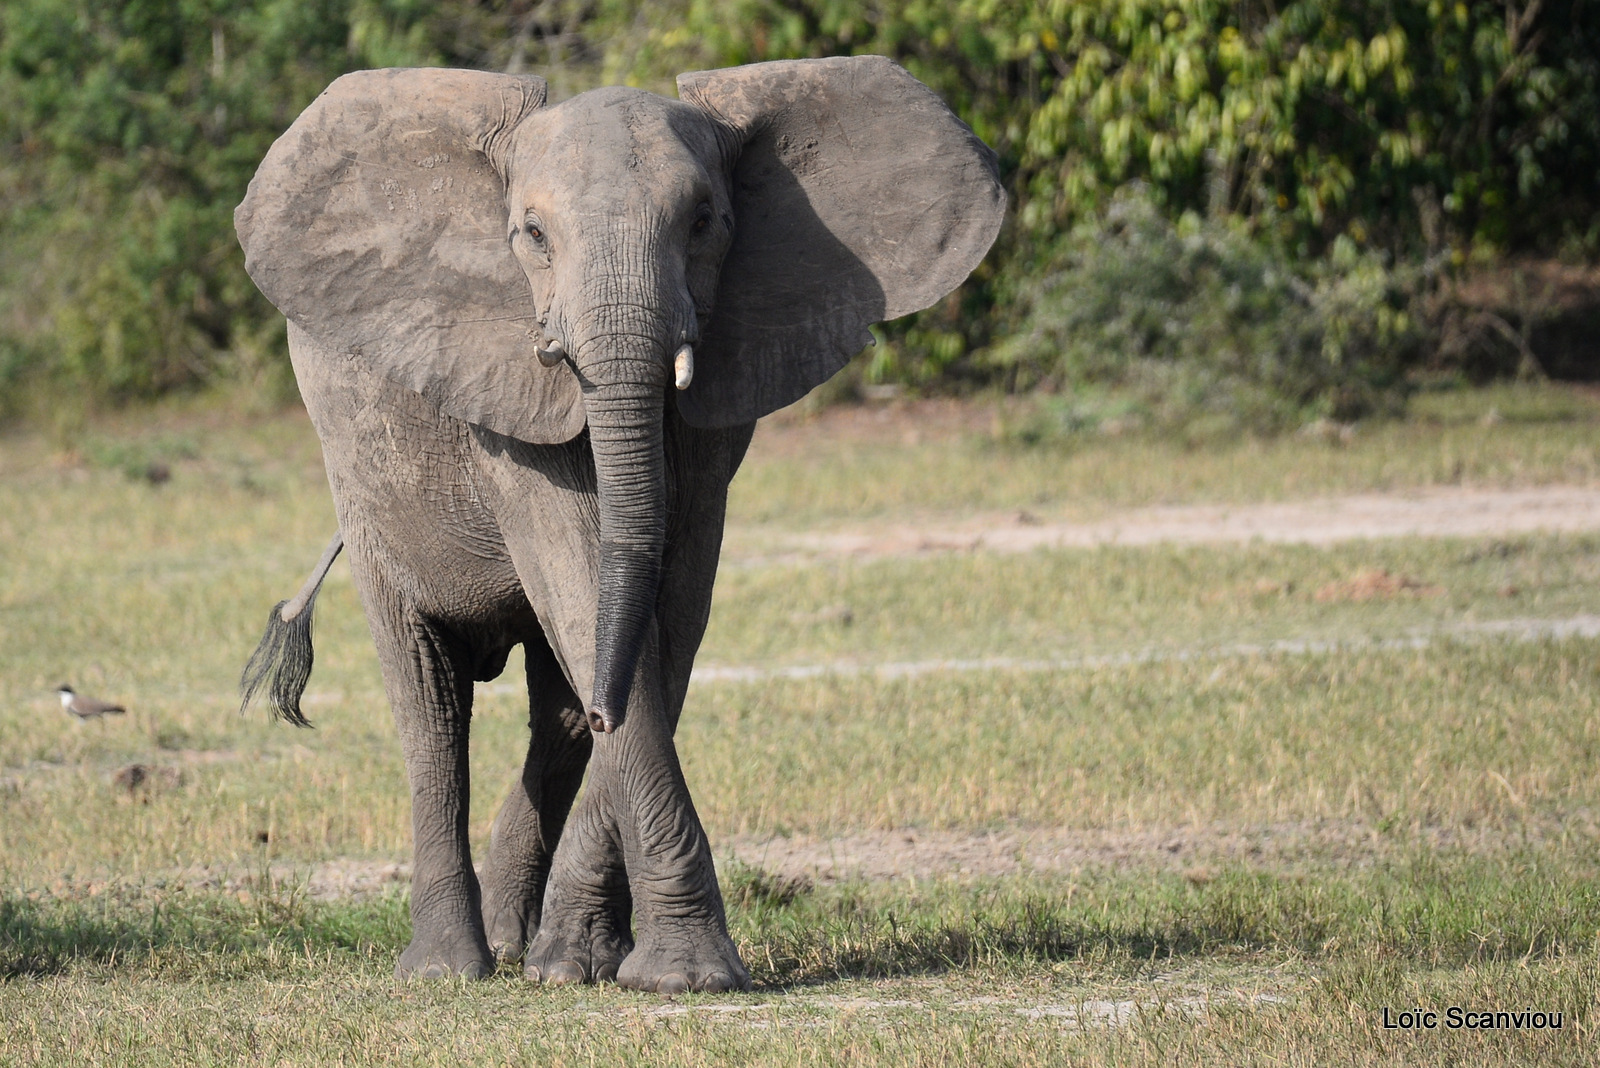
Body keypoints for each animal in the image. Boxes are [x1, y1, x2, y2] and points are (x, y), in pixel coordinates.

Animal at [235, 56, 998, 991]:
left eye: (705, 222)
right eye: (530, 233)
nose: (609, 711)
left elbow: (670, 607)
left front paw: (609, 967)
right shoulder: (509, 397)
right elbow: (582, 577)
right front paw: (677, 974)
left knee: (559, 710)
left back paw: (521, 946)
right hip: (360, 487)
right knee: (429, 702)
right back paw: (450, 968)